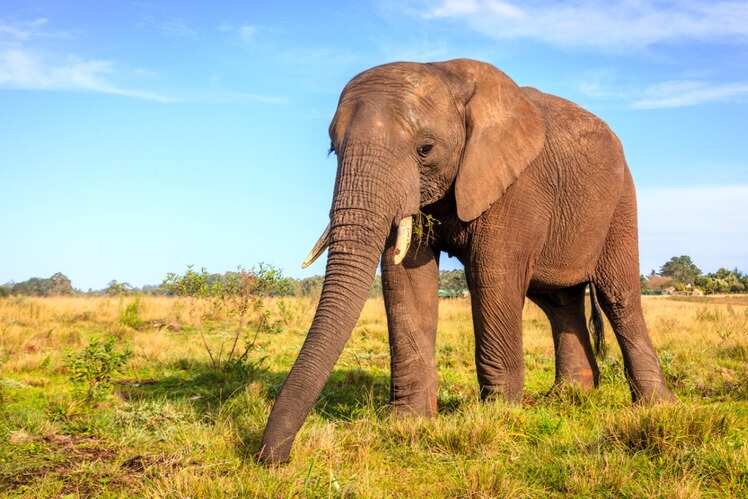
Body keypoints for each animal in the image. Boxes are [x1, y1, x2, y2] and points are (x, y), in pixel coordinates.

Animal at [258, 58, 673, 464]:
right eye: (333, 149)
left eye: (425, 149)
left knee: (617, 297)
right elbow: (405, 280)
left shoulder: (517, 186)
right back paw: (569, 397)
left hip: (621, 200)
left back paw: (654, 405)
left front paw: (499, 418)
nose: (272, 459)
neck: (445, 74)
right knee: (559, 303)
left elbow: (493, 277)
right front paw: (409, 425)